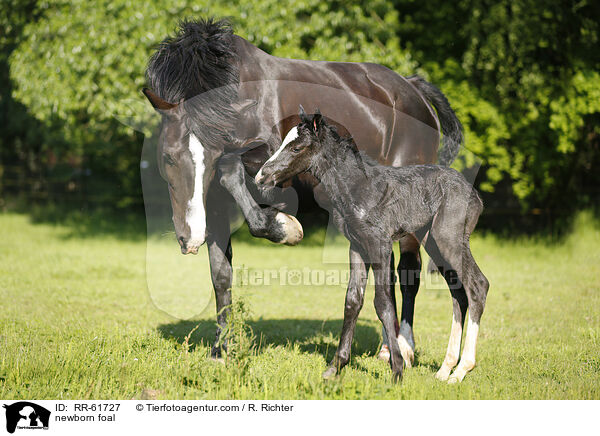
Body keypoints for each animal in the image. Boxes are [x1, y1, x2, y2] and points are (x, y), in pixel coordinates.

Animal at [255, 108, 490, 382]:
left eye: (296, 148)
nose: (261, 176)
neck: (358, 188)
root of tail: (475, 195)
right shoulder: (357, 247)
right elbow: (353, 300)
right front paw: (336, 366)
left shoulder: (380, 245)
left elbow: (383, 303)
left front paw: (397, 369)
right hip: (434, 243)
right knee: (458, 293)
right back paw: (445, 369)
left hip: (448, 239)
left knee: (477, 285)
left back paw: (462, 369)